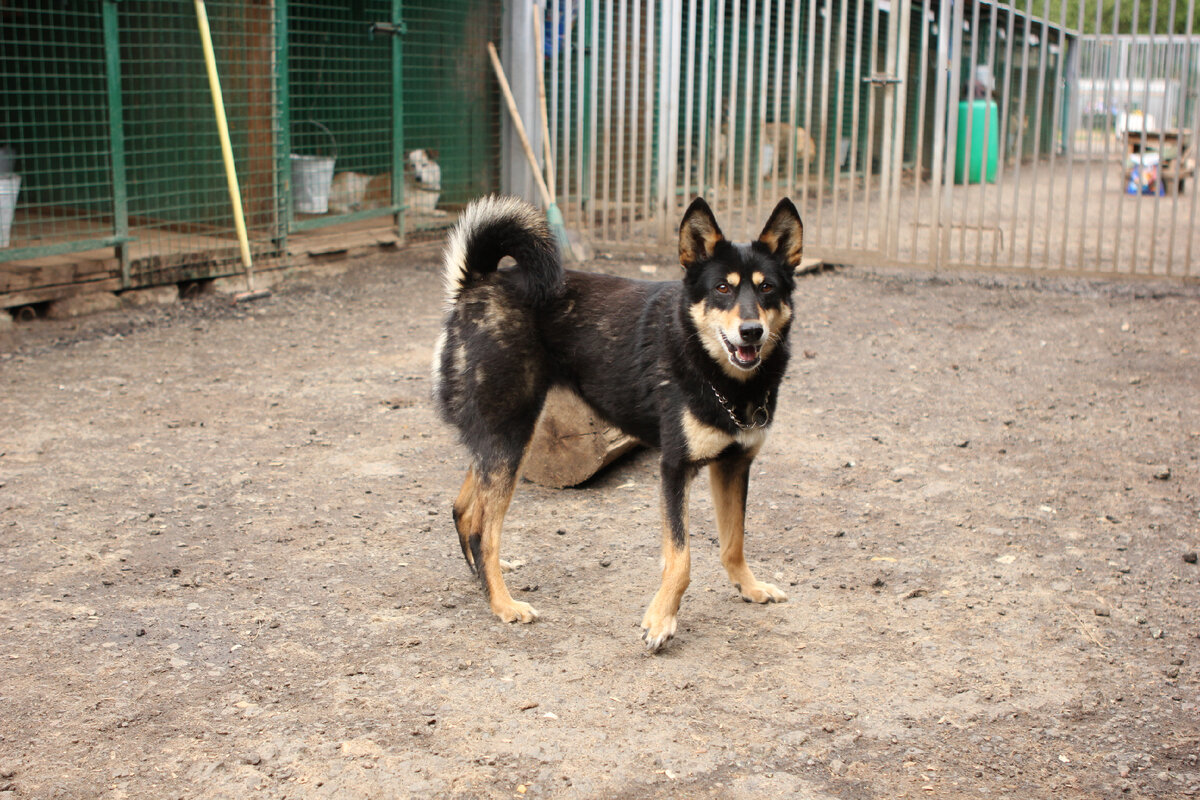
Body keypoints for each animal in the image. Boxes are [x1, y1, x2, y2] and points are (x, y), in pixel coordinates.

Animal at [427, 194, 801, 652]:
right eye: (722, 288)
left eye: (767, 288)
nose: (751, 331)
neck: (719, 375)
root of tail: (475, 283)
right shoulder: (674, 469)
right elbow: (681, 558)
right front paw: (660, 621)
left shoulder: (734, 466)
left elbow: (734, 543)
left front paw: (749, 587)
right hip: (510, 436)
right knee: (484, 529)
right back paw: (503, 604)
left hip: (502, 437)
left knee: (464, 510)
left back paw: (483, 583)